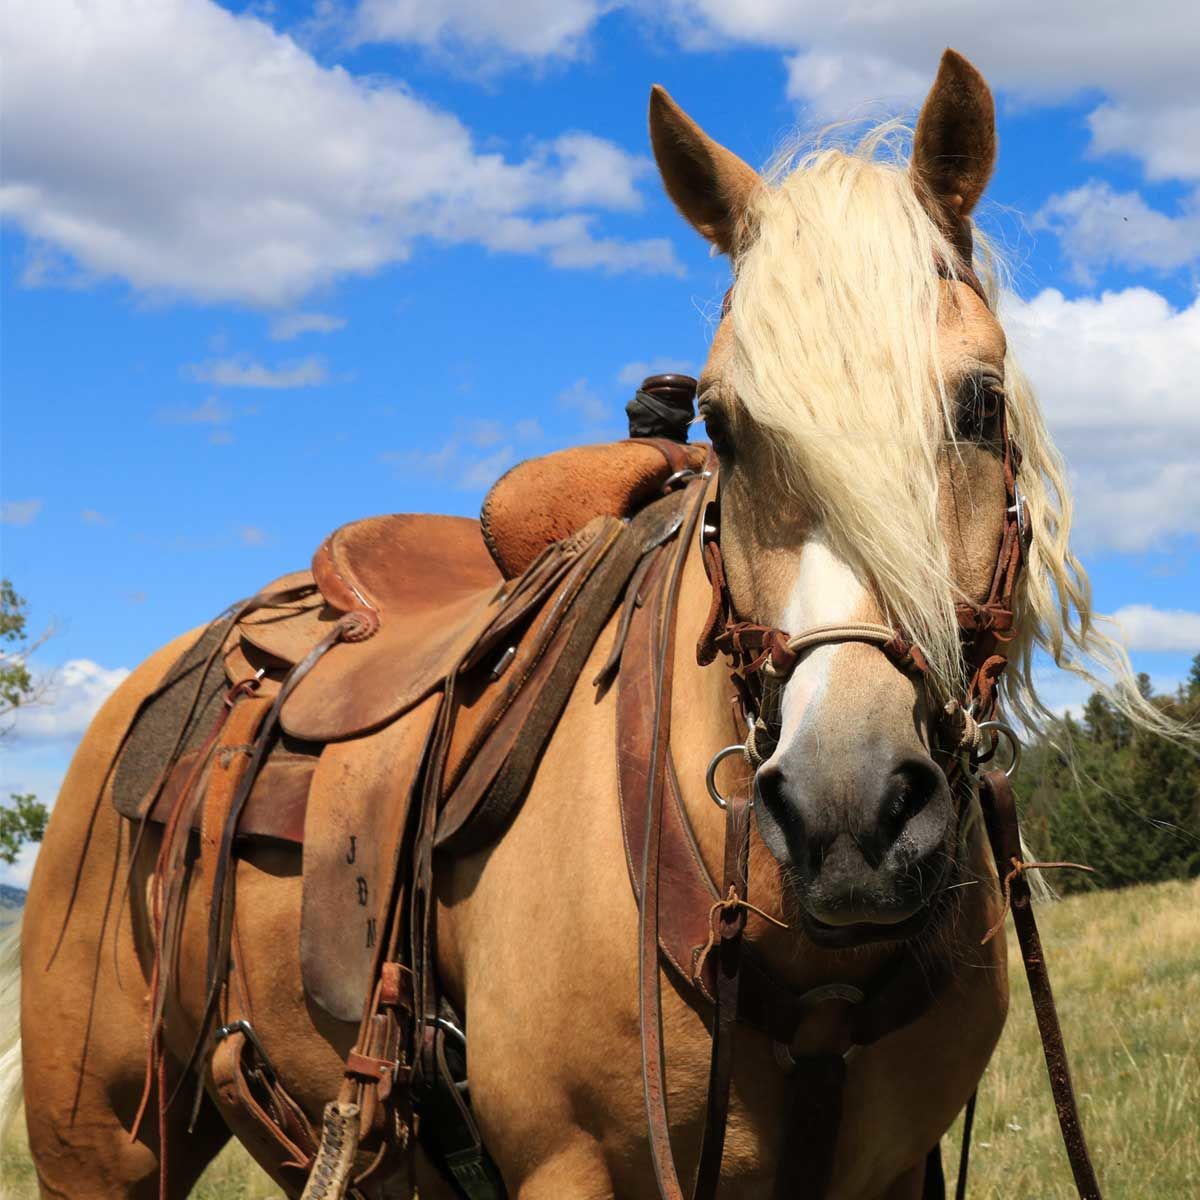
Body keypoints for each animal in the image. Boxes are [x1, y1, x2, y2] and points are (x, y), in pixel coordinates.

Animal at [8, 49, 1133, 1199]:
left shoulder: (892, 1170)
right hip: (100, 1150)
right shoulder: (571, 1165)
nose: (846, 813)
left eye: (983, 405)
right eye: (724, 426)